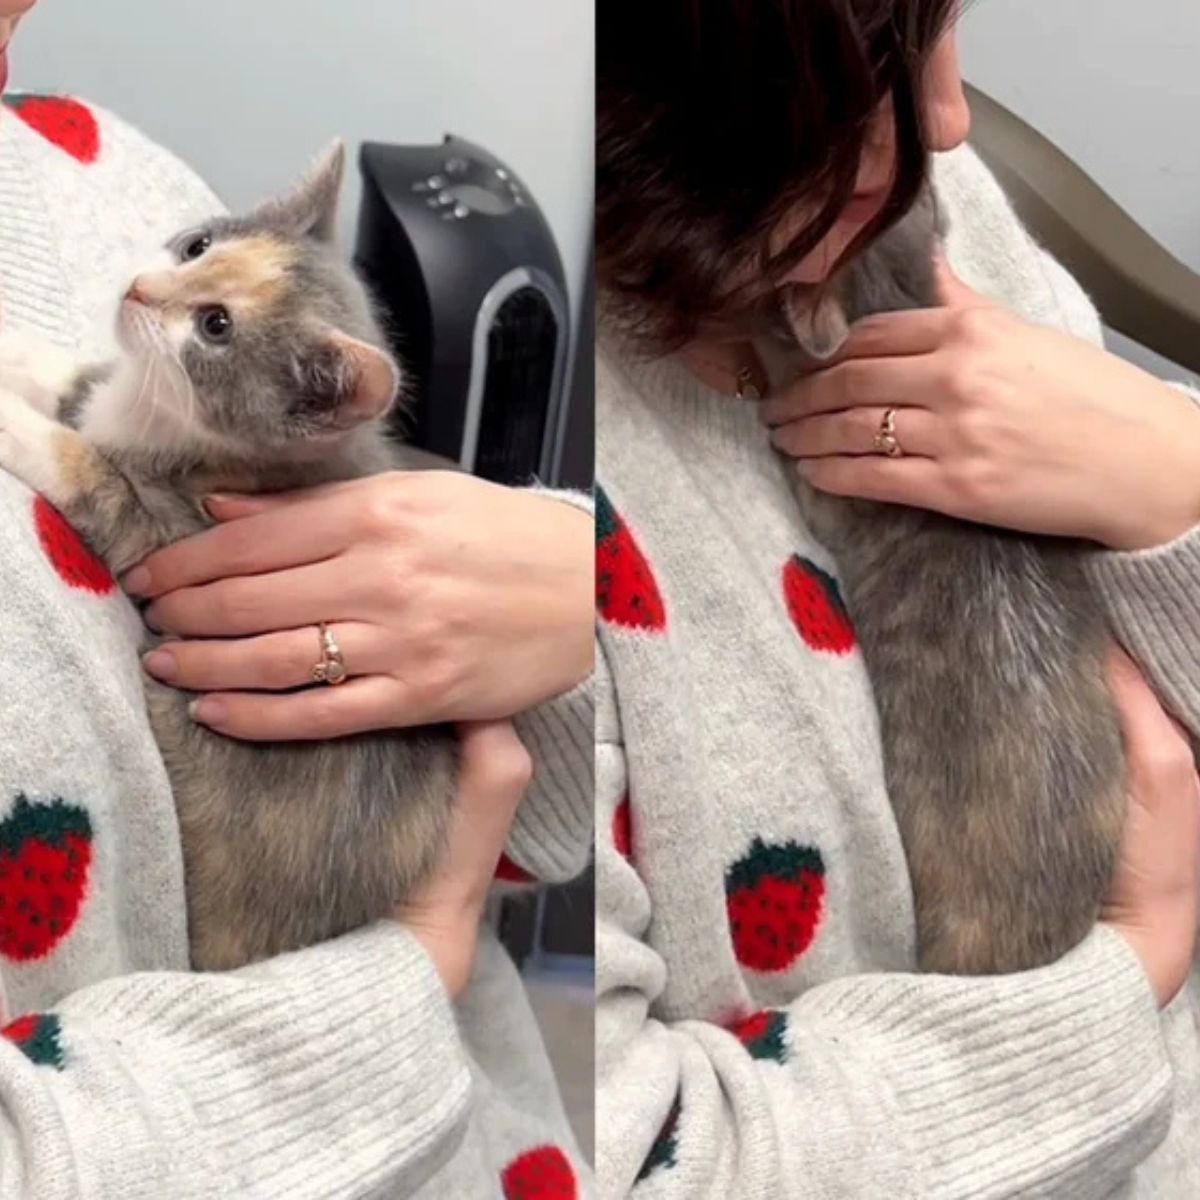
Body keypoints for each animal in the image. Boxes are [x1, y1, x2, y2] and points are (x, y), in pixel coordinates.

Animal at [0, 140, 458, 969]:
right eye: (198, 247)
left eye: (214, 326)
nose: (140, 289)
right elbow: (75, 380)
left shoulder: (163, 527)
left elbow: (80, 465)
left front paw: (7, 417)